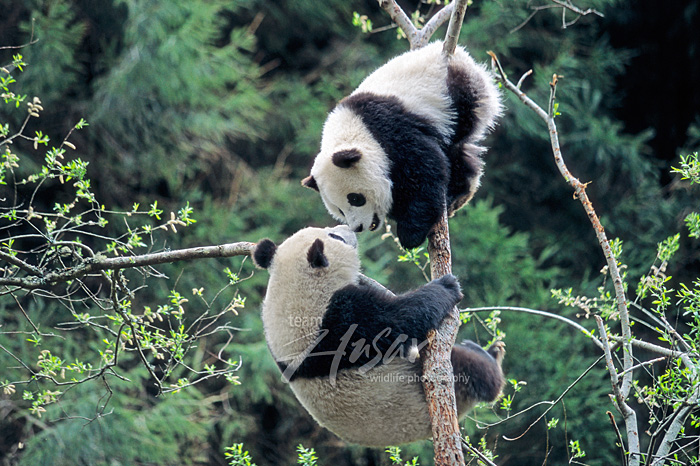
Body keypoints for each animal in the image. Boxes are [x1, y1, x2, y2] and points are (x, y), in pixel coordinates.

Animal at [252, 225, 505, 446]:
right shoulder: (344, 319)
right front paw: (446, 287)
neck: (290, 294)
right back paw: (488, 358)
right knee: (471, 370)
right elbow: (399, 319)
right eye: (335, 237)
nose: (349, 228)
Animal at [302, 41, 502, 250]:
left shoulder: (391, 131)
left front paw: (410, 235)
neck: (353, 132)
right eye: (339, 209)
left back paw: (455, 194)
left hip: (457, 94)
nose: (358, 227)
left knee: (456, 141)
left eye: (355, 198)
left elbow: (425, 171)